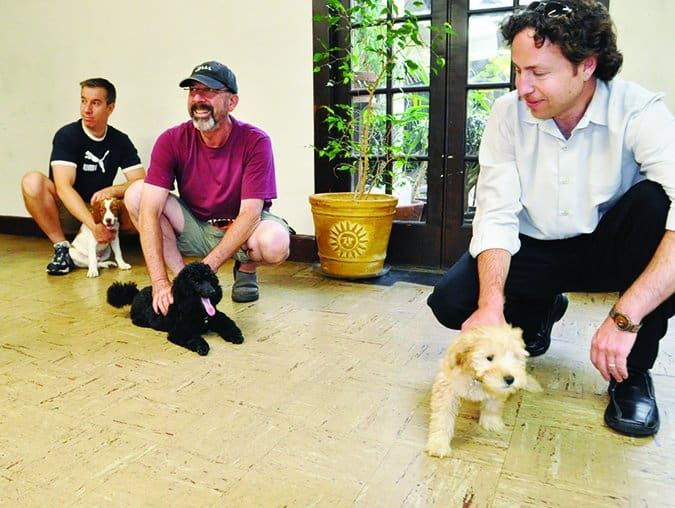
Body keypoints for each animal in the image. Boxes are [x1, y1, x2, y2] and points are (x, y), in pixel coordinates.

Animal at [105, 264, 243, 356]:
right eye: (196, 282)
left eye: (210, 280)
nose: (213, 291)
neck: (198, 312)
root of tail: (136, 294)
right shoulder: (180, 331)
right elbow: (194, 338)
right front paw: (202, 346)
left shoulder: (217, 318)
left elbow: (228, 324)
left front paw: (236, 335)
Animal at [426, 326, 540, 460]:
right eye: (489, 358)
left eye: (515, 357)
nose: (510, 379)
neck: (477, 379)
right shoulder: (446, 389)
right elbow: (442, 418)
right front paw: (438, 444)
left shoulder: (497, 391)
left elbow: (493, 406)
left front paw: (491, 422)